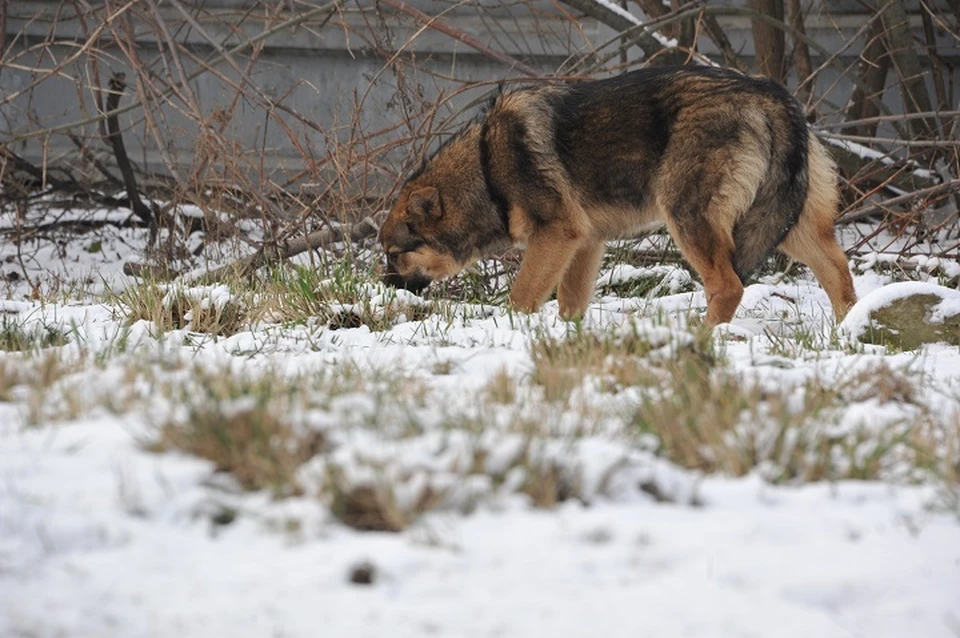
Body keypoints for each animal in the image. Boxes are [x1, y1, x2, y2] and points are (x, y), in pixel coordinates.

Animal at [378, 66, 860, 324]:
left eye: (394, 254)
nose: (382, 286)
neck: (486, 168)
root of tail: (772, 95)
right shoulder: (584, 242)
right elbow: (570, 305)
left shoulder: (557, 234)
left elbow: (521, 297)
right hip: (791, 226)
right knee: (841, 277)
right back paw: (848, 334)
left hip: (687, 217)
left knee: (728, 287)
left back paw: (702, 337)